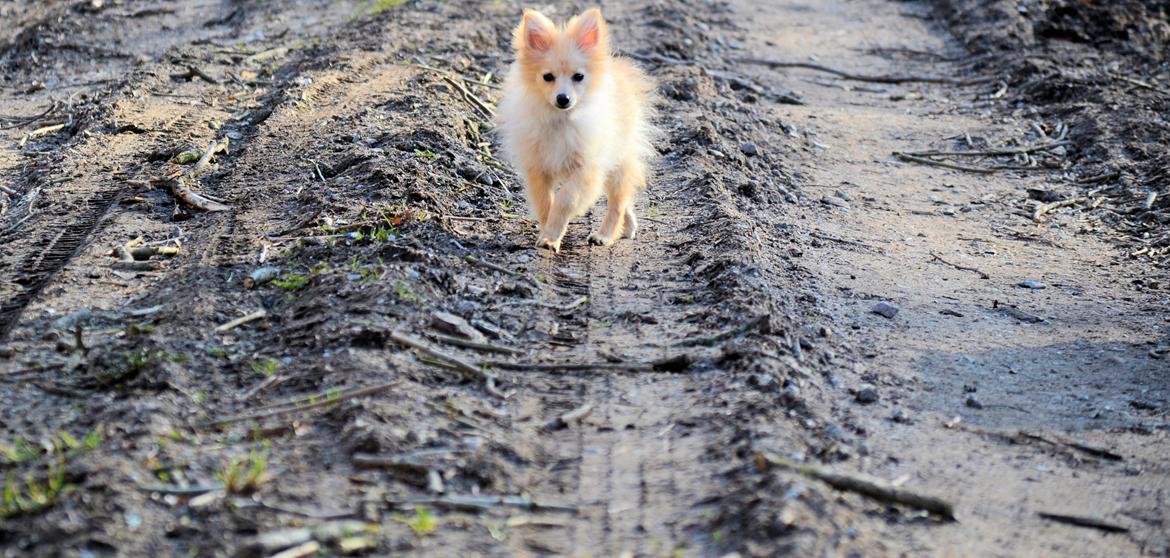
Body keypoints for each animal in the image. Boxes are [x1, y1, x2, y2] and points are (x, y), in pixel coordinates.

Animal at [496, 8, 659, 252]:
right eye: (547, 77)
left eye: (579, 77)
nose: (563, 98)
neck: (561, 120)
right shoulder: (538, 168)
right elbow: (545, 203)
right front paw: (548, 233)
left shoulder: (585, 170)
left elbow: (565, 200)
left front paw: (552, 235)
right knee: (625, 200)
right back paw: (628, 225)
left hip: (619, 160)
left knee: (617, 202)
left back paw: (605, 235)